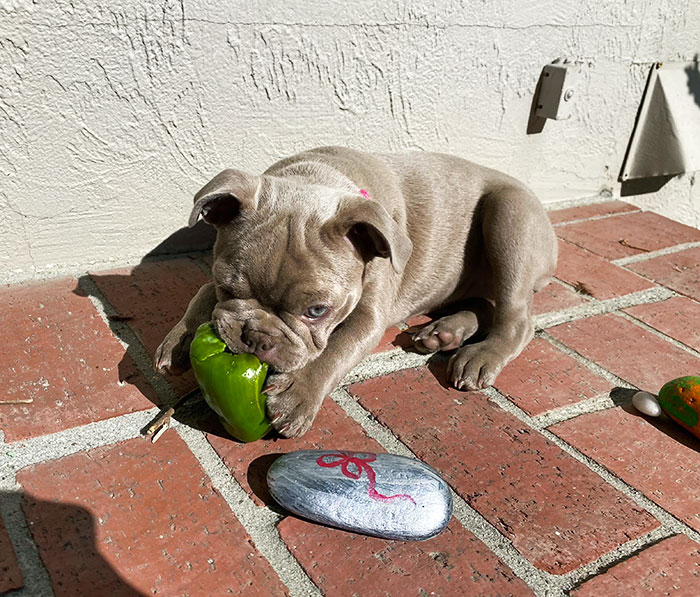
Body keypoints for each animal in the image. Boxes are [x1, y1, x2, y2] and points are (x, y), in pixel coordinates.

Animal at [154, 147, 556, 438]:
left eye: (317, 311)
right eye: (228, 287)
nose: (256, 338)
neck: (316, 176)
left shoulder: (368, 315)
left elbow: (335, 350)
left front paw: (296, 392)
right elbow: (201, 292)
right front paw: (179, 339)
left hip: (511, 219)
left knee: (517, 317)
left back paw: (481, 354)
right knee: (486, 305)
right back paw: (443, 332)